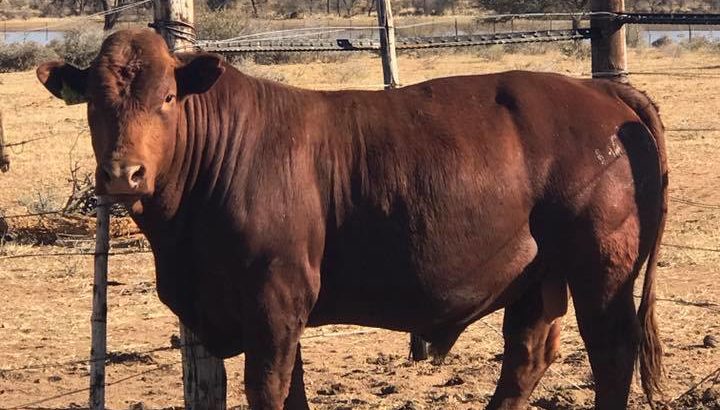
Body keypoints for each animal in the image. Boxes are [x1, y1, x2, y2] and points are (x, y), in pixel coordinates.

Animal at [37, 29, 667, 410]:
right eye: (94, 101)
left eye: (168, 97)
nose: (124, 173)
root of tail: (598, 93)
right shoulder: (271, 310)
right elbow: (291, 391)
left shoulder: (275, 299)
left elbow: (268, 389)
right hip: (537, 275)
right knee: (527, 356)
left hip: (602, 267)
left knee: (611, 352)